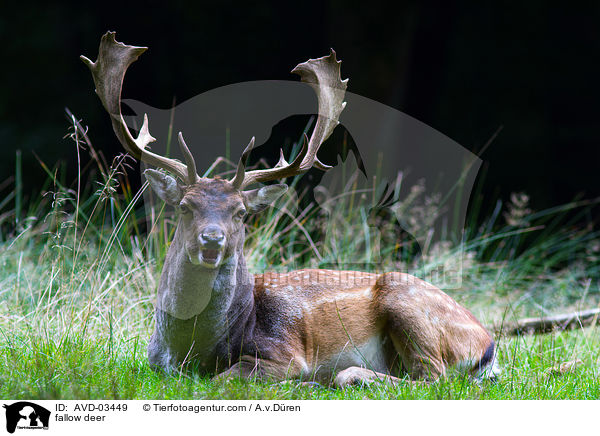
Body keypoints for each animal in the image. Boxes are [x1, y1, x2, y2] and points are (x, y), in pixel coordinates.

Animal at [82, 32, 500, 386]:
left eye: (240, 213)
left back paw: (345, 377)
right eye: (185, 207)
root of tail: (488, 344)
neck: (193, 350)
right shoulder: (153, 361)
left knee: (432, 377)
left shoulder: (285, 354)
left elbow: (224, 379)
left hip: (407, 303)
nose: (212, 240)